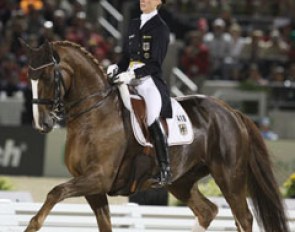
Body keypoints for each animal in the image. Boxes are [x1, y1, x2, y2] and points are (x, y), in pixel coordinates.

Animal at [21, 40, 292, 232]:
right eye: (28, 78)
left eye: (46, 77)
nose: (41, 123)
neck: (94, 113)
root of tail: (231, 111)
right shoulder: (92, 188)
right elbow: (103, 224)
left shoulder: (98, 178)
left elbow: (55, 192)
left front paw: (32, 225)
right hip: (181, 181)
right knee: (207, 211)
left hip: (229, 175)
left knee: (243, 218)